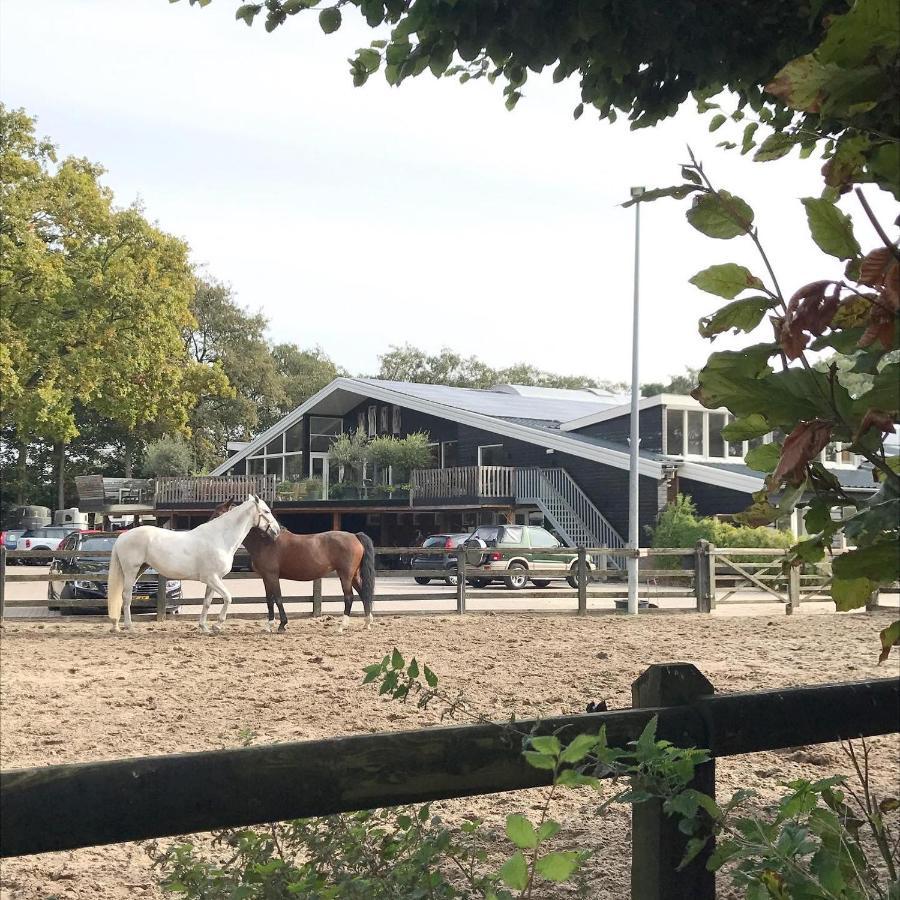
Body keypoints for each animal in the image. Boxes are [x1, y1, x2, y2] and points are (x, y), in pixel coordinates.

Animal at [107, 500, 280, 632]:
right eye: (266, 511)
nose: (277, 531)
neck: (219, 538)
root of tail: (123, 537)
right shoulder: (211, 578)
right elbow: (228, 598)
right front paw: (217, 625)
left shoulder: (213, 580)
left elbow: (207, 602)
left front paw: (204, 627)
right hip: (131, 571)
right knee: (126, 596)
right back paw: (129, 627)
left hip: (139, 570)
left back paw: (117, 626)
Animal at [213, 500, 374, 632]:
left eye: (217, 515)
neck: (266, 542)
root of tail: (354, 536)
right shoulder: (265, 577)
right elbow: (269, 599)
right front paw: (269, 625)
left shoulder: (272, 576)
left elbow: (278, 598)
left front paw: (282, 624)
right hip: (353, 575)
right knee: (363, 594)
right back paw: (367, 623)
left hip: (345, 575)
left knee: (349, 597)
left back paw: (341, 626)